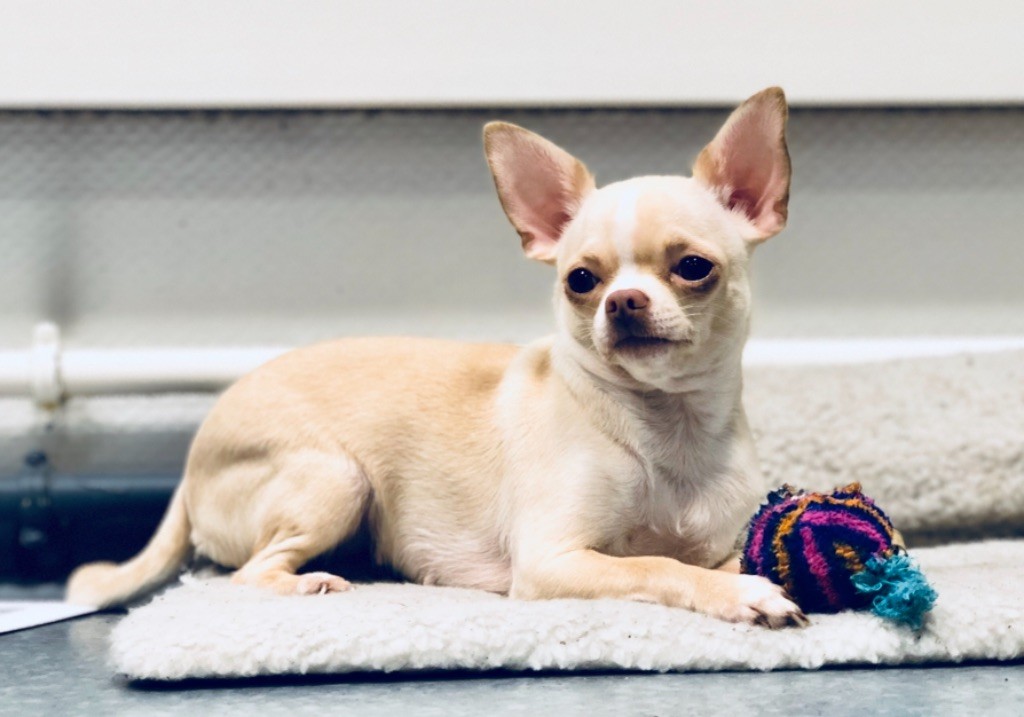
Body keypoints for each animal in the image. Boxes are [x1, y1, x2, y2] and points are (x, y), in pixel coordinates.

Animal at [67, 87, 805, 628]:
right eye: (580, 280)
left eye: (693, 267)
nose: (622, 301)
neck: (664, 425)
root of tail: (193, 461)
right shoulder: (554, 559)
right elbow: (658, 566)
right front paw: (746, 595)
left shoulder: (717, 538)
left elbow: (716, 558)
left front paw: (762, 578)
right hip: (337, 477)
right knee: (246, 571)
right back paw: (311, 583)